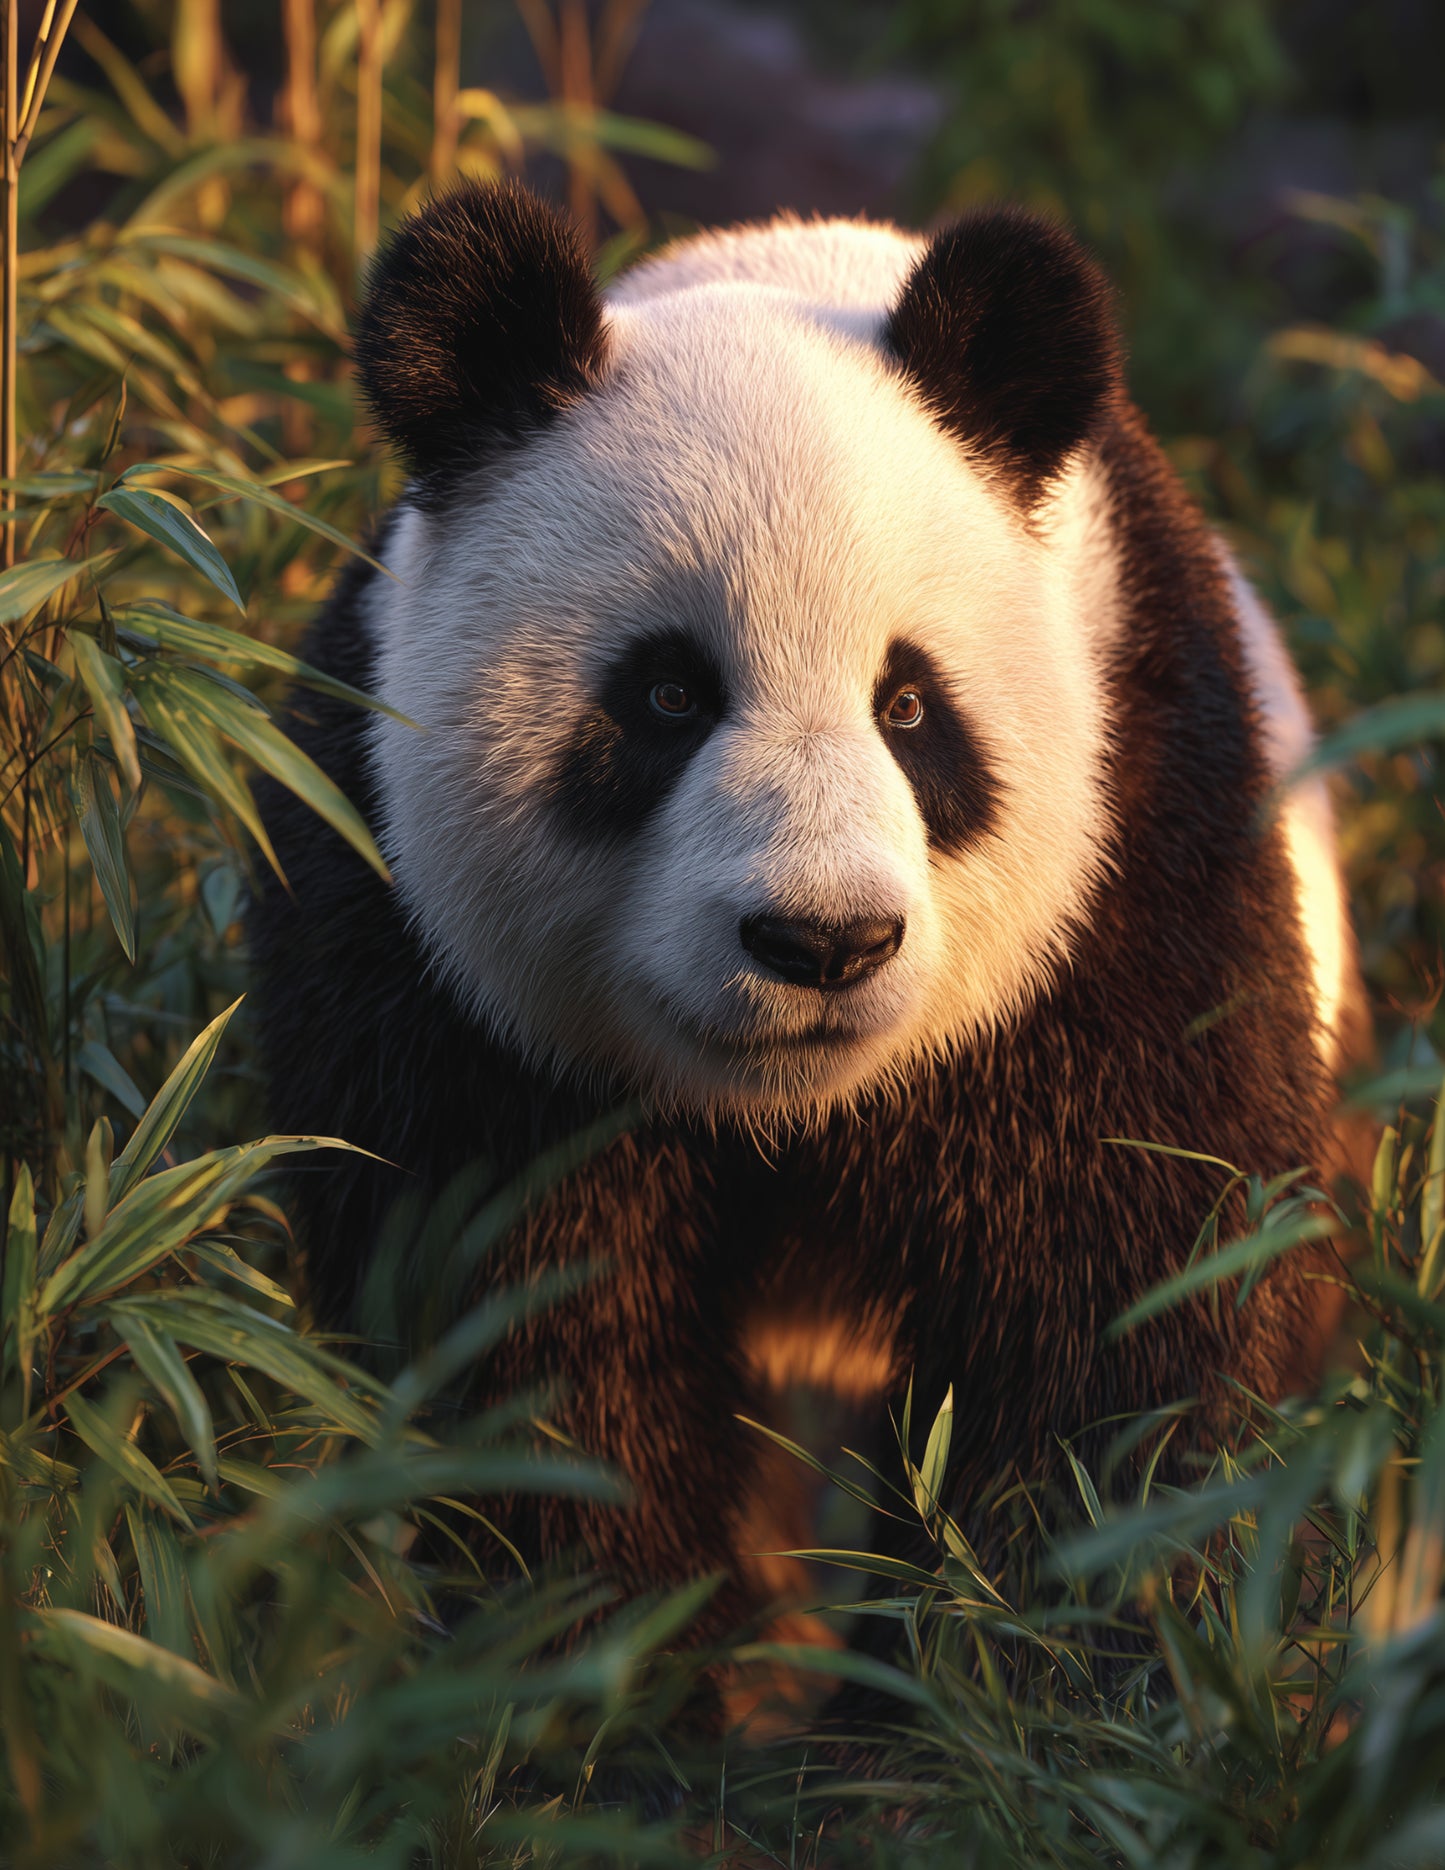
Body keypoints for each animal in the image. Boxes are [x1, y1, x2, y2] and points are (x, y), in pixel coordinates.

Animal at [250, 181, 1365, 1716]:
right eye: (666, 695)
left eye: (910, 706)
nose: (822, 942)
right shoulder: (421, 957)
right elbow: (522, 1320)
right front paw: (645, 1685)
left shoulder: (1134, 856)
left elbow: (1129, 1287)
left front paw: (1004, 1682)